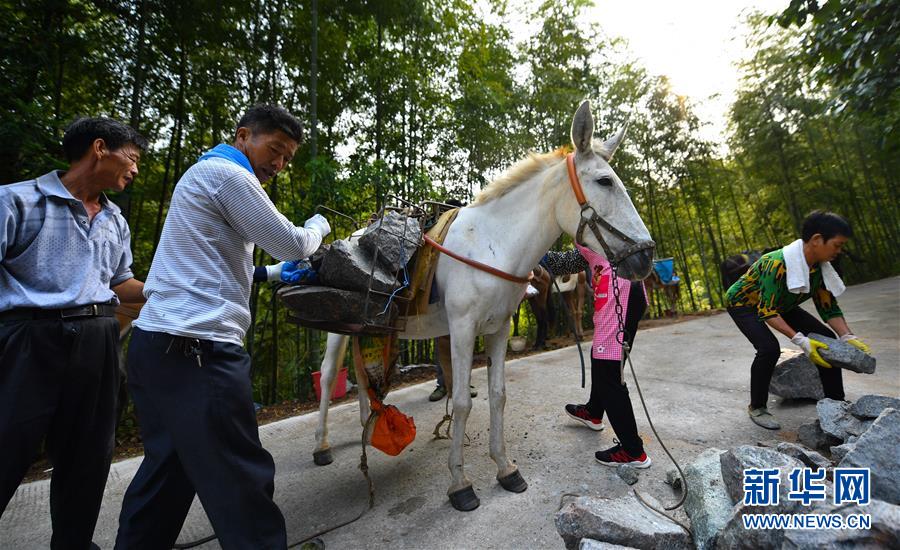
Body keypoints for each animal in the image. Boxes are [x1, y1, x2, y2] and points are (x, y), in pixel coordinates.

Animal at [310, 100, 652, 512]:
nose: (646, 256)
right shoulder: (461, 329)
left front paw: (505, 469)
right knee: (330, 375)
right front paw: (460, 483)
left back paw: (368, 426)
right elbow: (460, 402)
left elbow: (498, 396)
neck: (492, 245)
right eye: (605, 182)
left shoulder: (499, 328)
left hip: (370, 328)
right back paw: (322, 445)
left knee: (363, 379)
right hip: (339, 327)